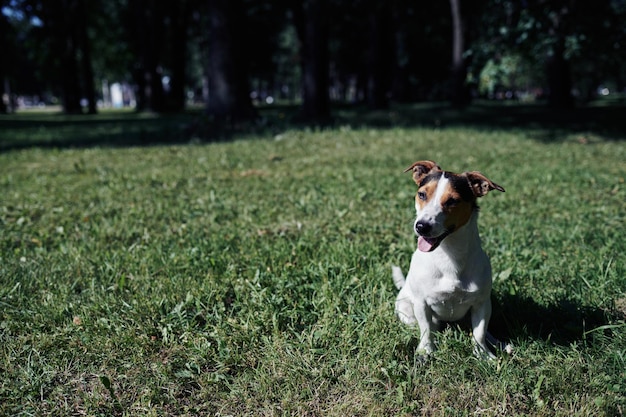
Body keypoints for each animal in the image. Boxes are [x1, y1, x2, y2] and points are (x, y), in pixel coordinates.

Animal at [392, 159, 510, 358]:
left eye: (452, 201)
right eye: (422, 194)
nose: (421, 226)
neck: (448, 254)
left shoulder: (481, 304)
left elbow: (479, 333)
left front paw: (483, 355)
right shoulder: (422, 304)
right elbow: (426, 330)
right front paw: (425, 351)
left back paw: (499, 343)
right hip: (406, 309)